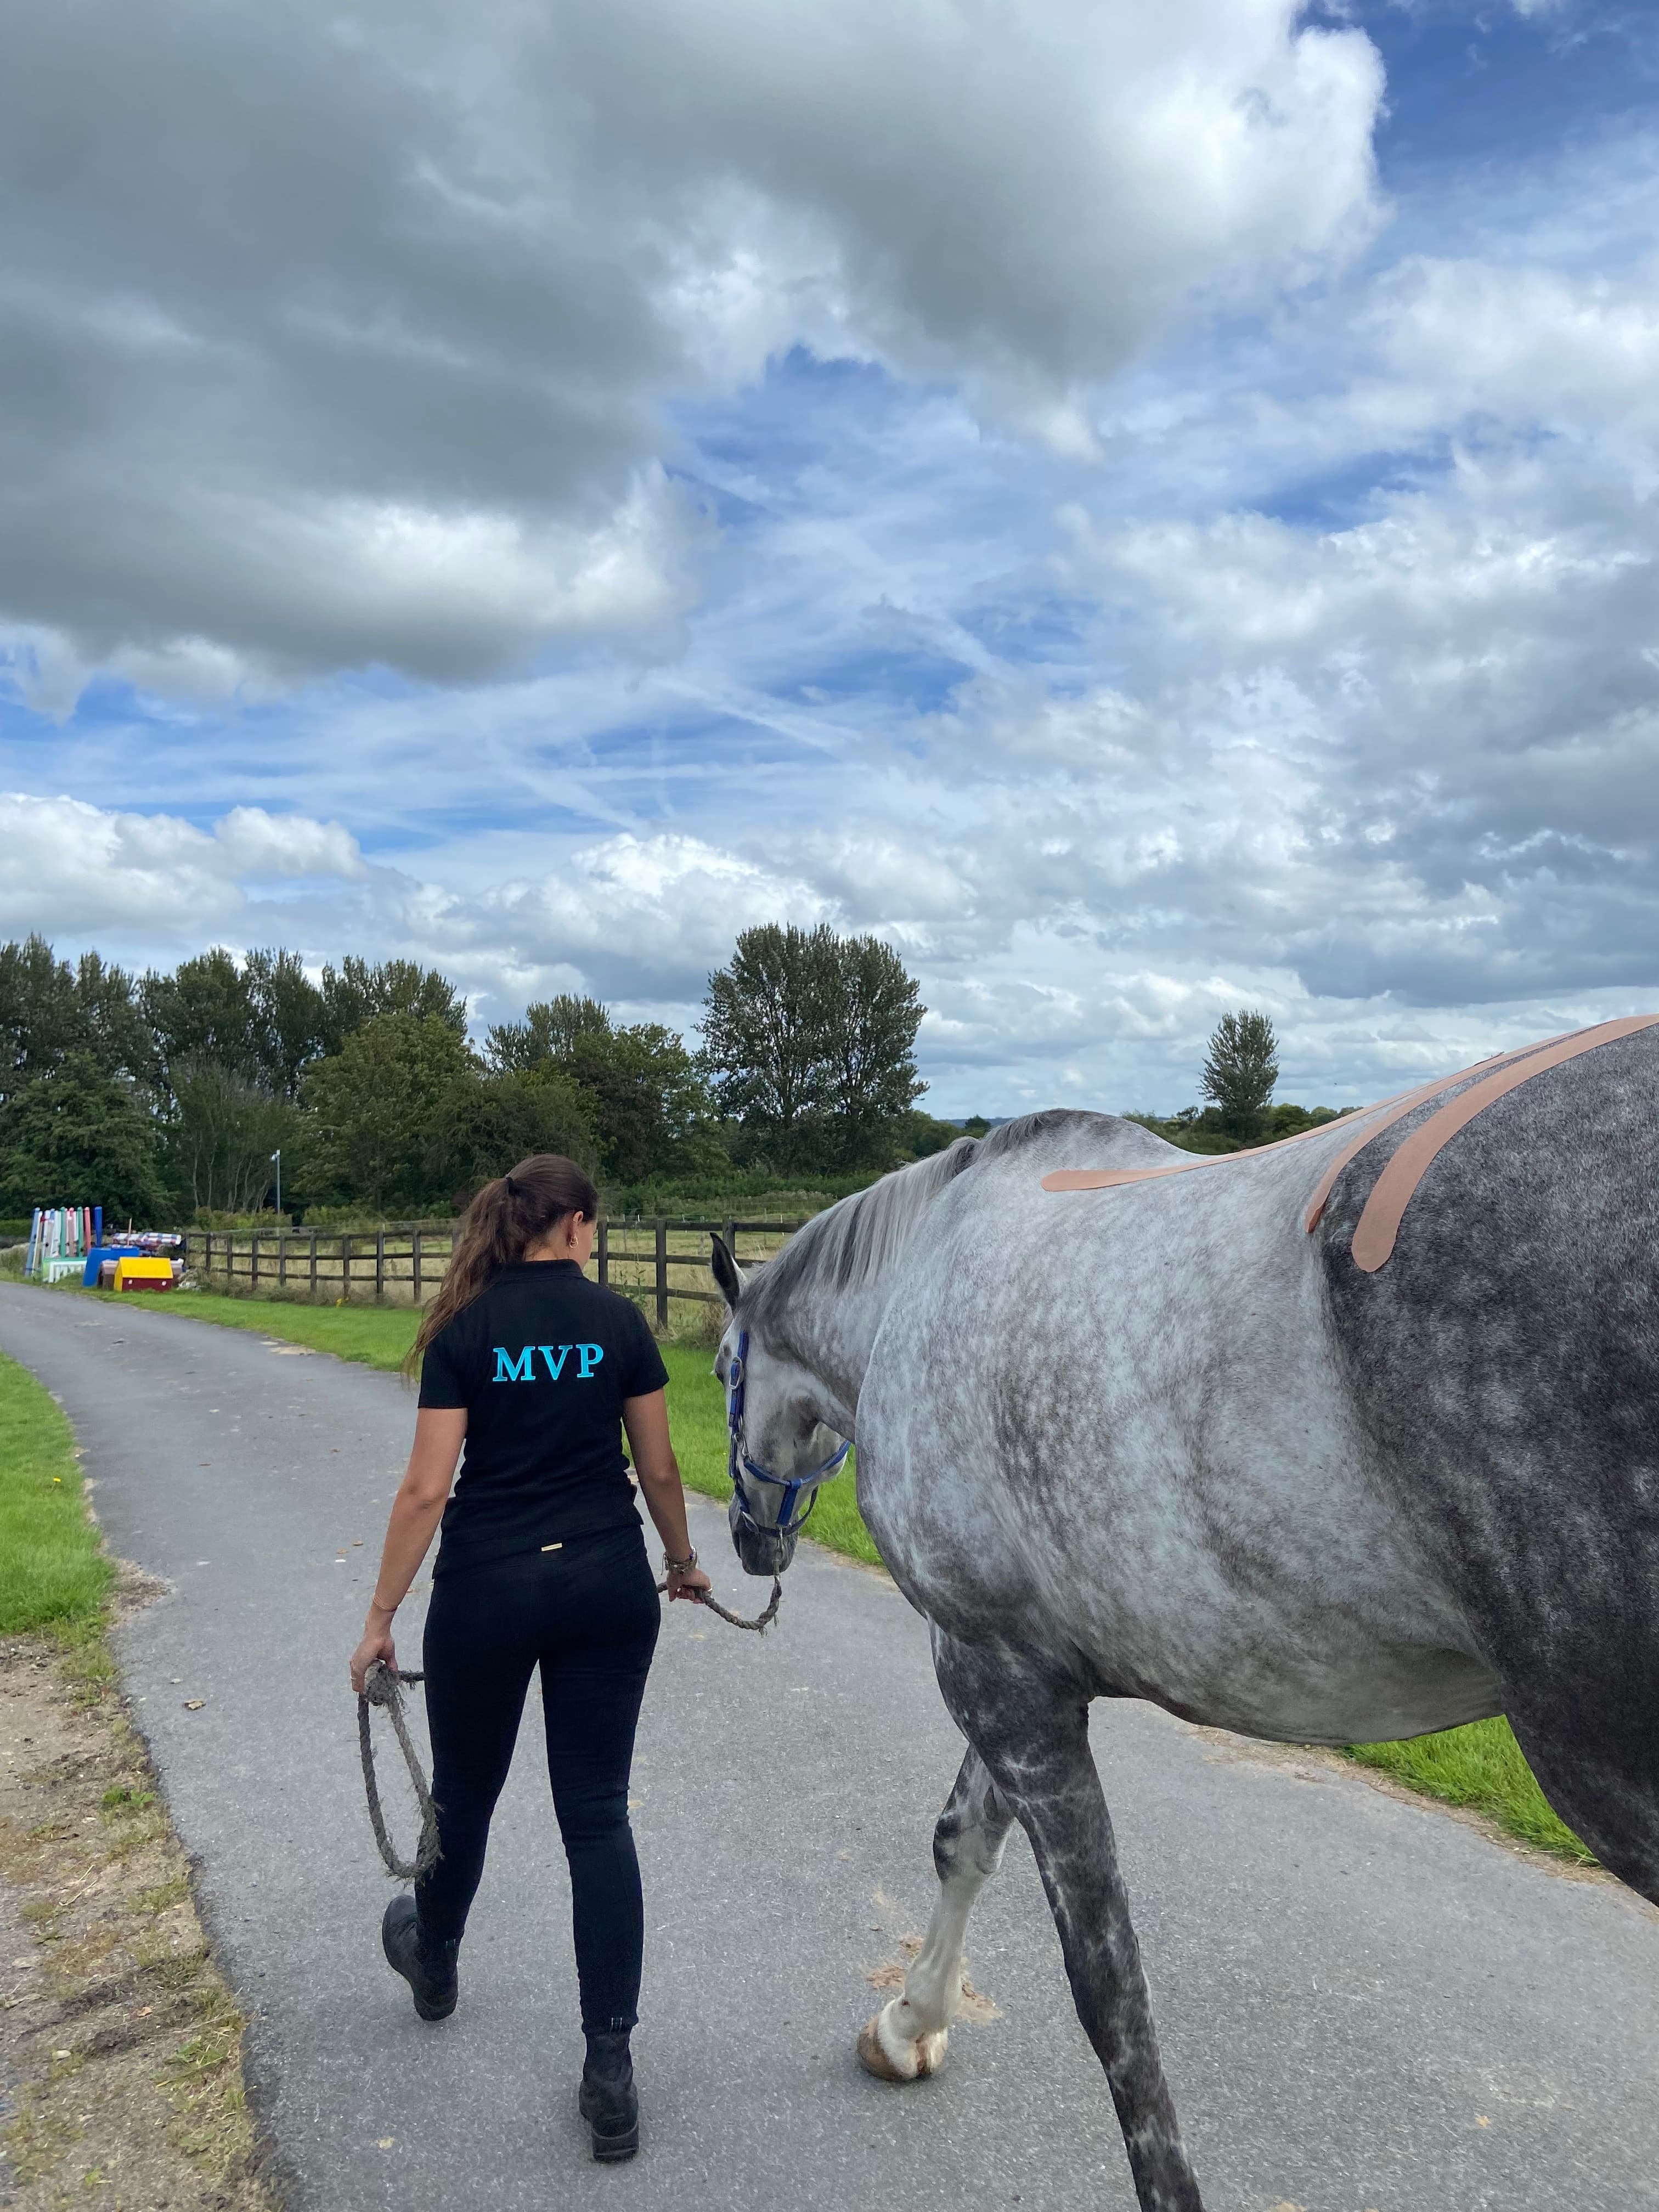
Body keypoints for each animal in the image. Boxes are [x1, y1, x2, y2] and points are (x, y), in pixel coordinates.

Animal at [706, 1021, 1659, 2212]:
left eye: (722, 1368)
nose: (753, 1542)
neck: (916, 1280)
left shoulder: (997, 1681)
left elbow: (1108, 1993)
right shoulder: (1027, 1670)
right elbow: (960, 1841)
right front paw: (908, 2026)